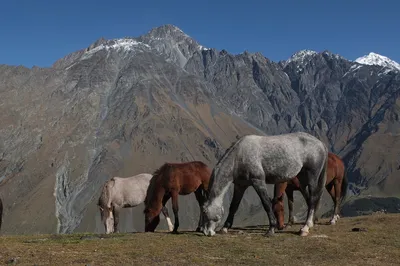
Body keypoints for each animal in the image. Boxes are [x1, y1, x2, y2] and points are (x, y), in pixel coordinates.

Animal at [200, 133, 328, 237]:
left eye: (205, 212)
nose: (207, 232)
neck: (239, 156)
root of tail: (321, 144)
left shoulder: (258, 181)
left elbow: (266, 203)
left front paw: (271, 229)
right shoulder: (240, 186)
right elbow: (234, 206)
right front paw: (225, 228)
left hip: (312, 176)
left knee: (313, 198)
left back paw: (305, 228)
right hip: (301, 178)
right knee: (308, 198)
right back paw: (310, 224)